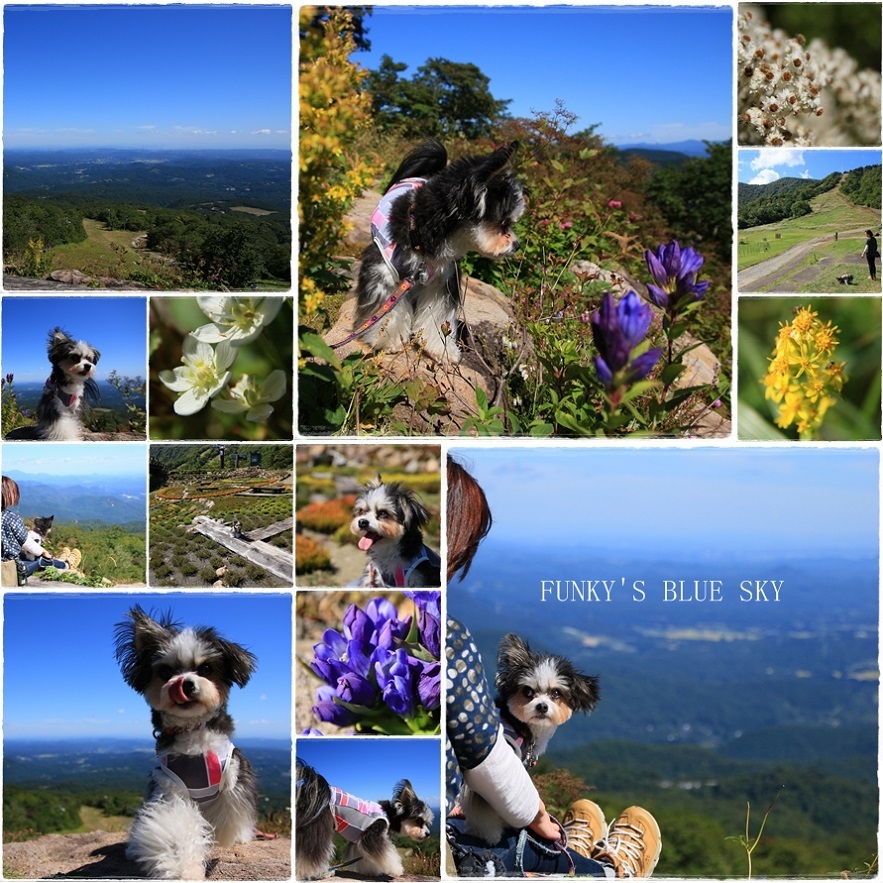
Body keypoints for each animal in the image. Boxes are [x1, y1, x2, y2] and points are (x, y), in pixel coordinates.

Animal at [115, 604, 258, 880]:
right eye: (165, 672)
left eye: (206, 669)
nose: (186, 683)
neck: (194, 732)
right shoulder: (169, 789)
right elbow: (174, 825)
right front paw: (185, 871)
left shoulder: (234, 776)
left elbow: (228, 816)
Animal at [296, 764, 436, 880]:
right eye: (419, 820)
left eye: (427, 823)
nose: (428, 834)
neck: (390, 814)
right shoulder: (373, 835)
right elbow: (386, 853)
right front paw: (396, 869)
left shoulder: (359, 839)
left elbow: (365, 856)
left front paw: (371, 872)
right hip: (319, 824)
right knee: (313, 849)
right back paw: (319, 873)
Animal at [356, 137, 524, 362]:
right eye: (504, 223)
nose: (517, 245)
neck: (423, 238)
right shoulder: (383, 273)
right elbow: (387, 310)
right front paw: (390, 340)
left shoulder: (443, 280)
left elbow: (438, 315)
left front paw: (441, 349)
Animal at [462, 632, 600, 848]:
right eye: (527, 692)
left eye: (556, 693)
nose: (542, 706)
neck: (520, 726)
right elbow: (487, 807)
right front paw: (490, 835)